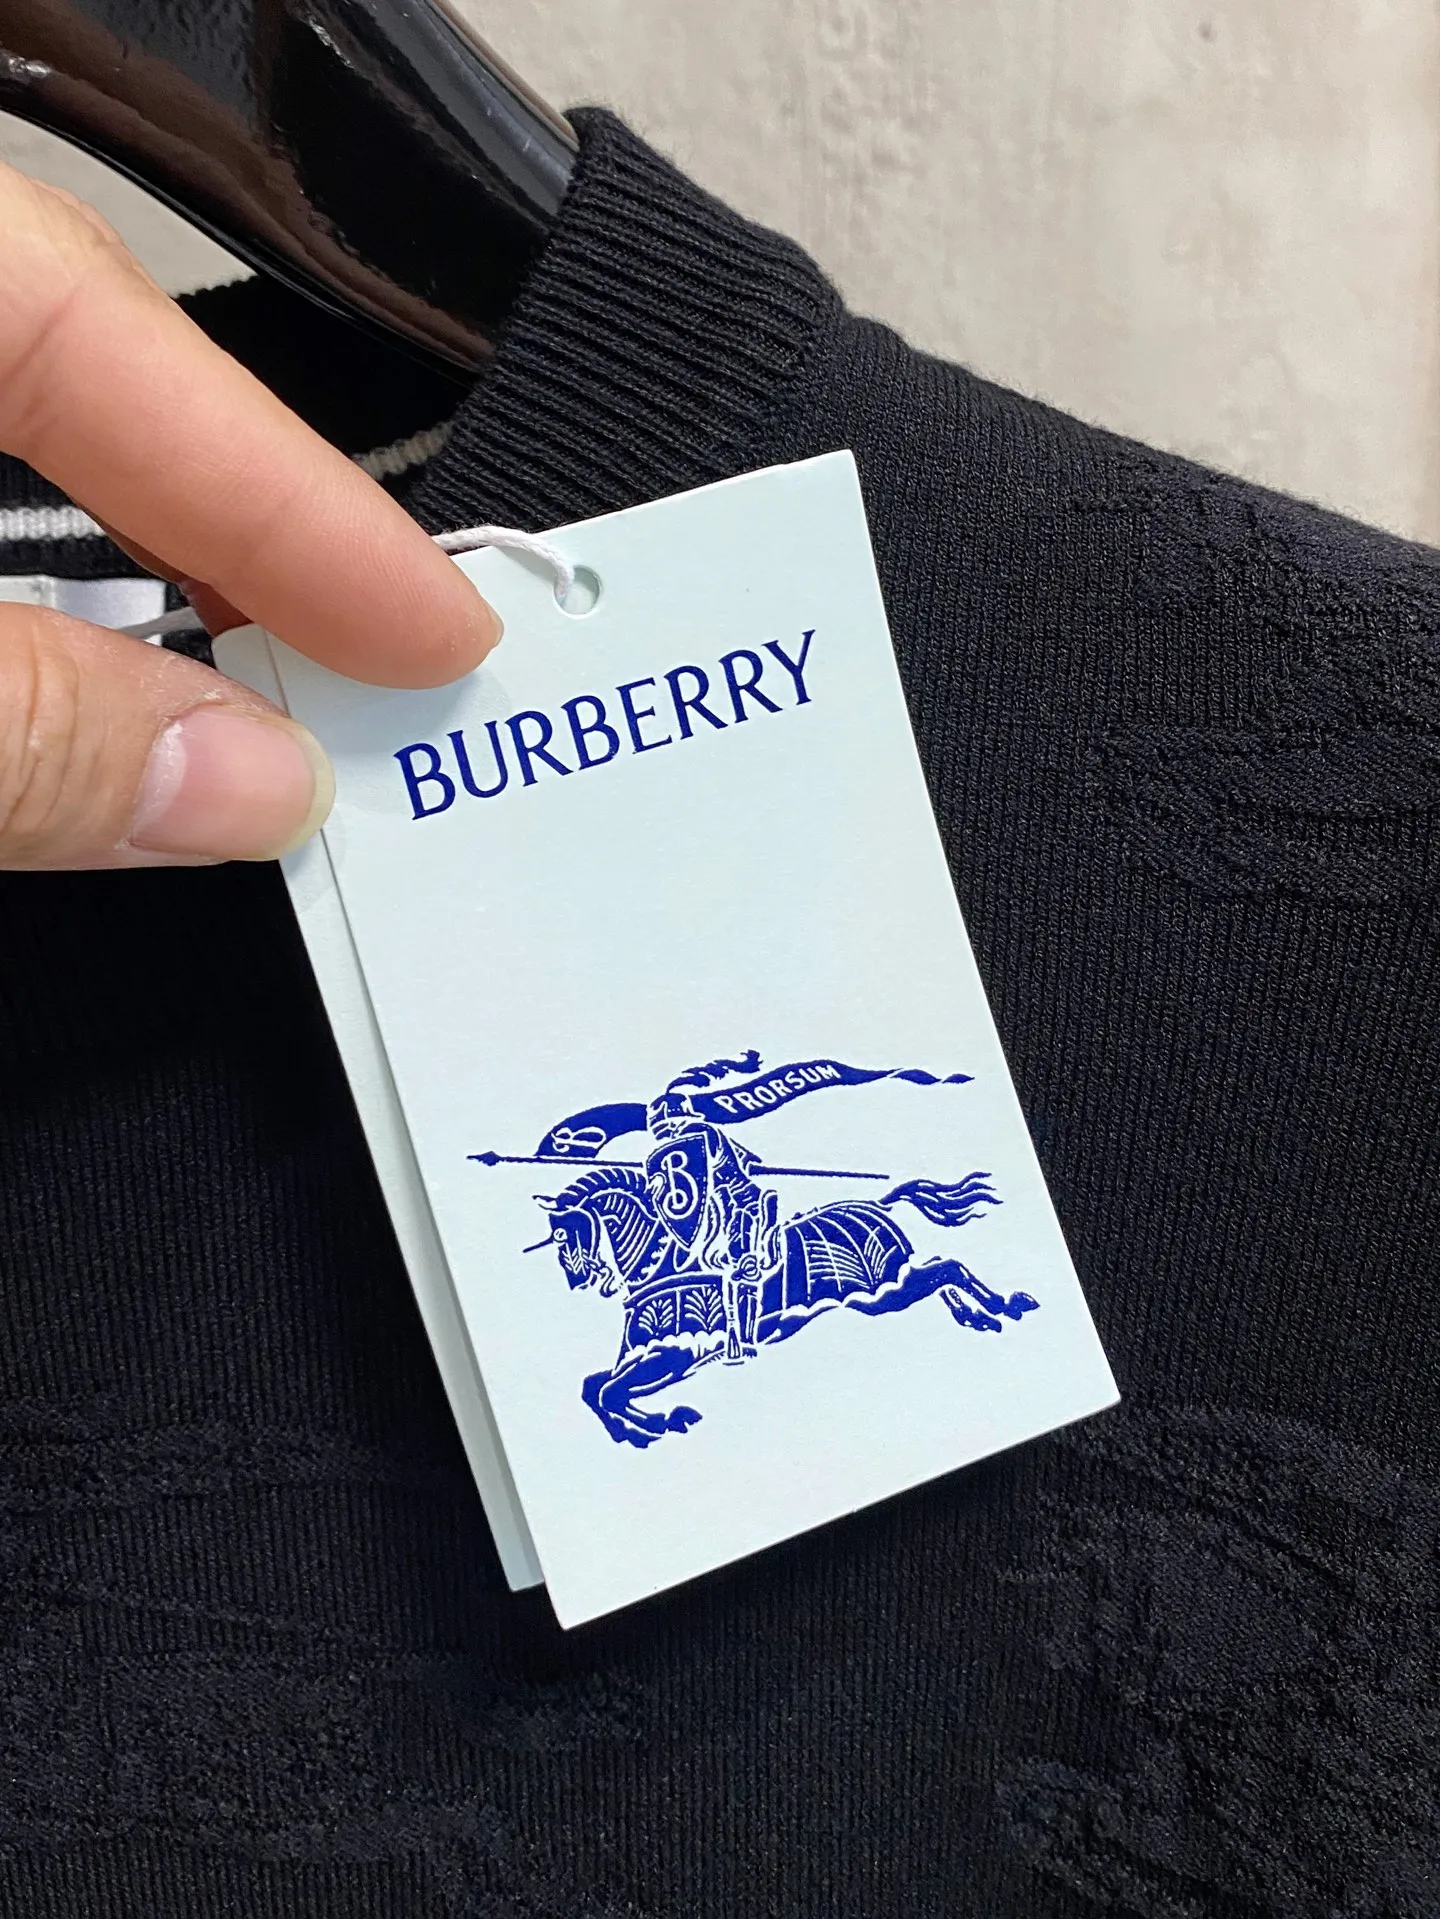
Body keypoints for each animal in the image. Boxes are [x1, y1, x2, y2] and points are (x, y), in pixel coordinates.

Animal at [537, 1166, 1038, 1447]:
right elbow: (594, 1388)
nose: (579, 1279)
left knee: (947, 1268)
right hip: (885, 1294)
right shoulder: (651, 1358)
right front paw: (641, 1429)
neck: (663, 1264)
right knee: (938, 1271)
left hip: (880, 1293)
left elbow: (608, 1392)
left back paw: (1004, 1305)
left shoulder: (676, 1355)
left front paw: (660, 1423)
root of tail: (876, 1202)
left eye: (564, 1234)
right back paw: (977, 1315)